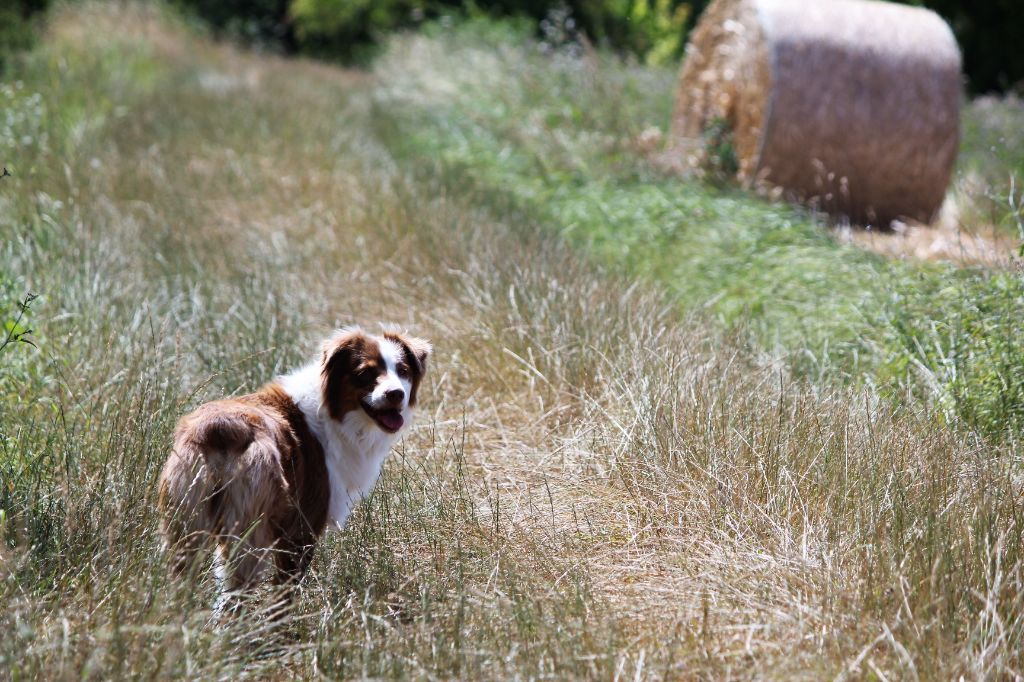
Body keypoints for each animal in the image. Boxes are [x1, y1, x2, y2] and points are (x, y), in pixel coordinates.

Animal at [157, 327, 430, 598]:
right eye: (365, 374)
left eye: (403, 371)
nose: (396, 394)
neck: (334, 414)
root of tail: (220, 428)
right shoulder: (300, 531)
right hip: (248, 534)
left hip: (187, 527)